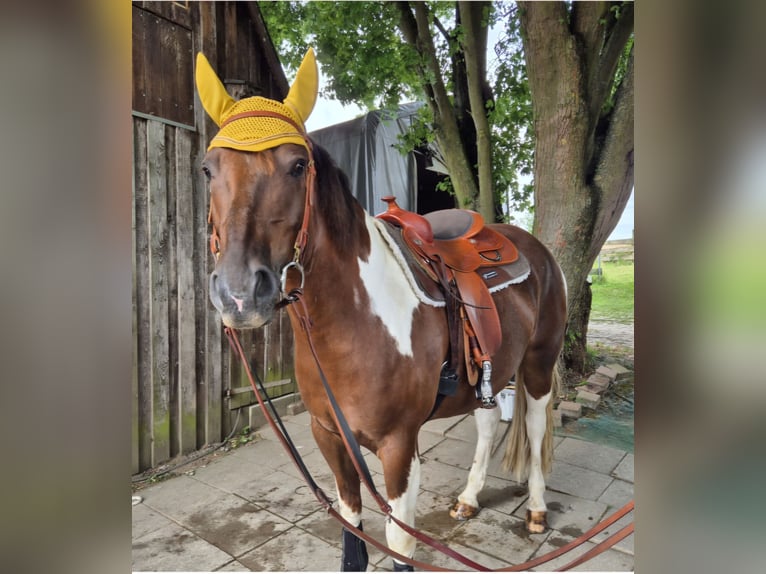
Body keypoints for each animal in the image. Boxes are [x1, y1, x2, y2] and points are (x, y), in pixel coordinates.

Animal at [196, 48, 567, 571]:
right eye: (208, 169)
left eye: (297, 165)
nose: (240, 294)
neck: (353, 325)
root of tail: (532, 246)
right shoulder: (330, 437)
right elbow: (353, 533)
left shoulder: (398, 447)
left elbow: (399, 545)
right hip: (491, 369)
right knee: (488, 419)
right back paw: (468, 499)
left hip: (538, 362)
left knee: (534, 425)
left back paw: (535, 509)